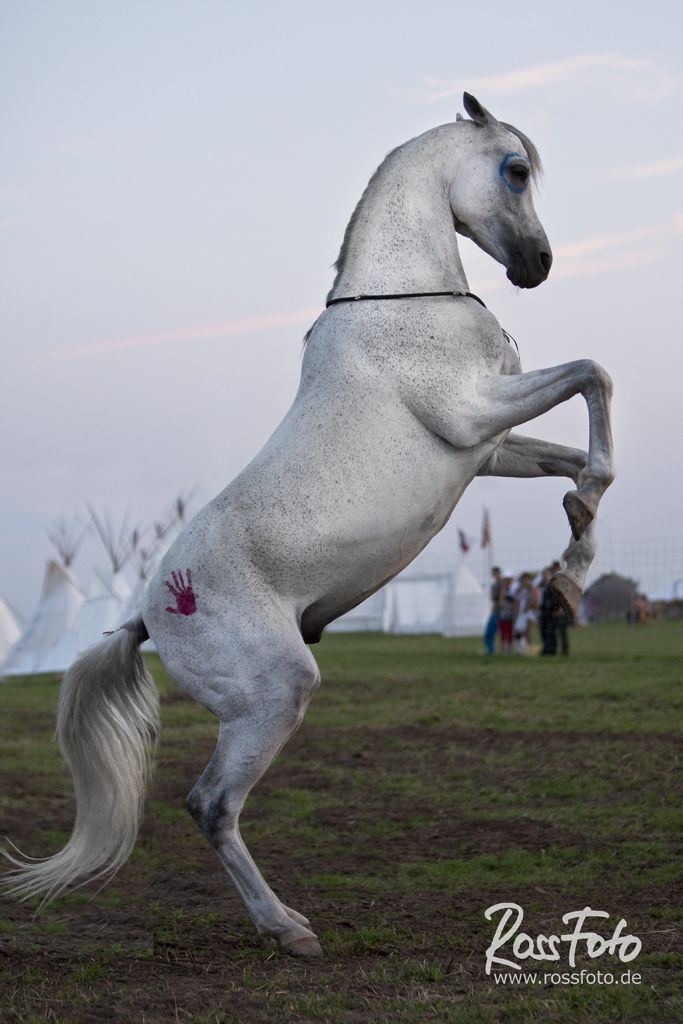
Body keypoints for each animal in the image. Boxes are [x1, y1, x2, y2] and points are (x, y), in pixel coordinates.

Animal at [3, 93, 614, 957]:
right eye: (515, 169)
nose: (537, 262)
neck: (403, 306)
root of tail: (146, 616)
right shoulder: (473, 416)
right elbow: (594, 376)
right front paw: (573, 549)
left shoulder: (485, 449)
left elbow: (579, 457)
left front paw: (568, 570)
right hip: (277, 692)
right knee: (209, 805)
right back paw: (287, 929)